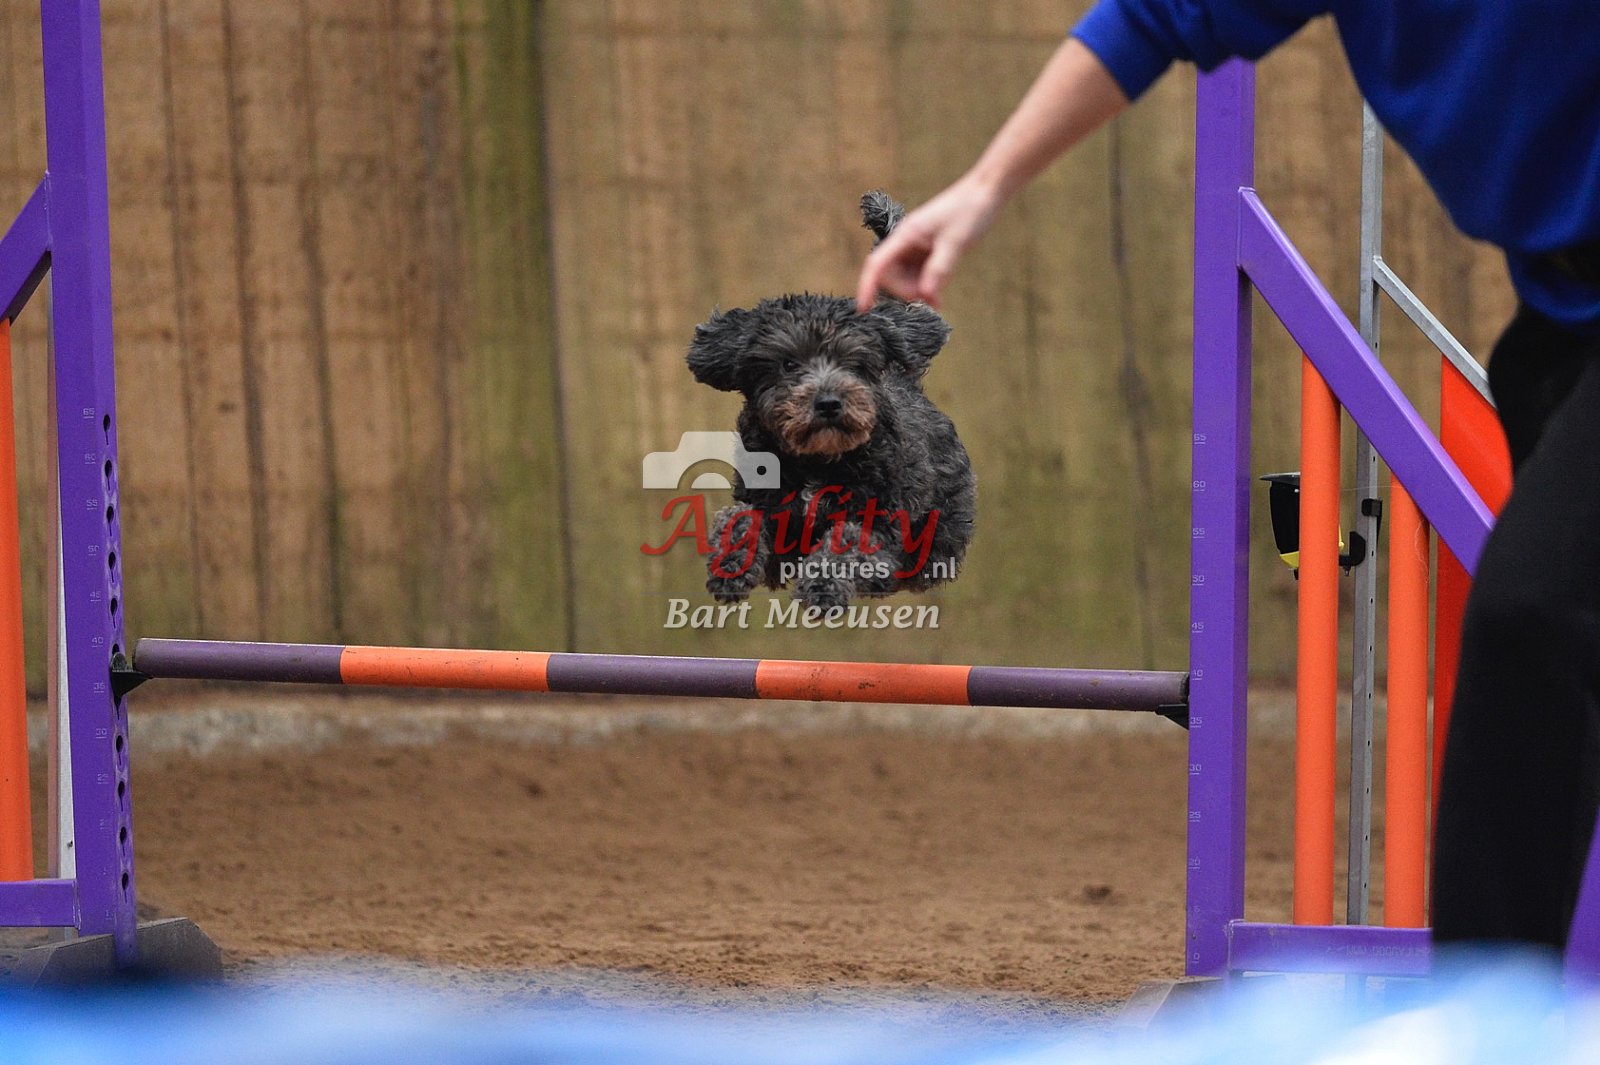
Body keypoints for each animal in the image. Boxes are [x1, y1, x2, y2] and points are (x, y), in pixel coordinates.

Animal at [685, 191, 976, 611]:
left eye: (853, 362)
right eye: (788, 363)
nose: (828, 403)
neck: (816, 463)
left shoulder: (882, 525)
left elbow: (848, 540)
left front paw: (822, 587)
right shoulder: (775, 525)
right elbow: (738, 517)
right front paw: (730, 567)